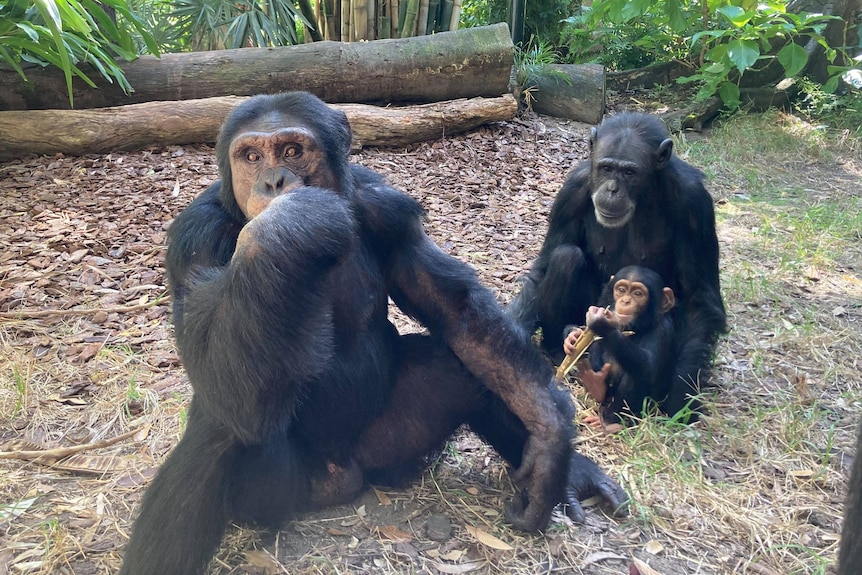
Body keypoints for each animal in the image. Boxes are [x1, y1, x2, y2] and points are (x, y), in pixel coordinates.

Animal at [118, 91, 628, 575]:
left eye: (291, 150)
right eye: (251, 156)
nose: (274, 182)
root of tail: (339, 480)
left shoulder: (387, 209)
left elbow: (457, 311)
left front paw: (551, 442)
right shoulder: (197, 237)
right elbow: (217, 377)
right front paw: (290, 223)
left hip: (387, 449)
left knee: (469, 366)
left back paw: (567, 478)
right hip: (277, 494)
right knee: (219, 425)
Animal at [564, 266, 680, 432]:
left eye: (638, 293)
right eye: (621, 290)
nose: (625, 301)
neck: (636, 327)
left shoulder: (662, 330)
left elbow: (647, 365)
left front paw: (602, 323)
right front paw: (572, 336)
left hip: (650, 406)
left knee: (637, 371)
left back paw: (610, 422)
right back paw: (595, 384)